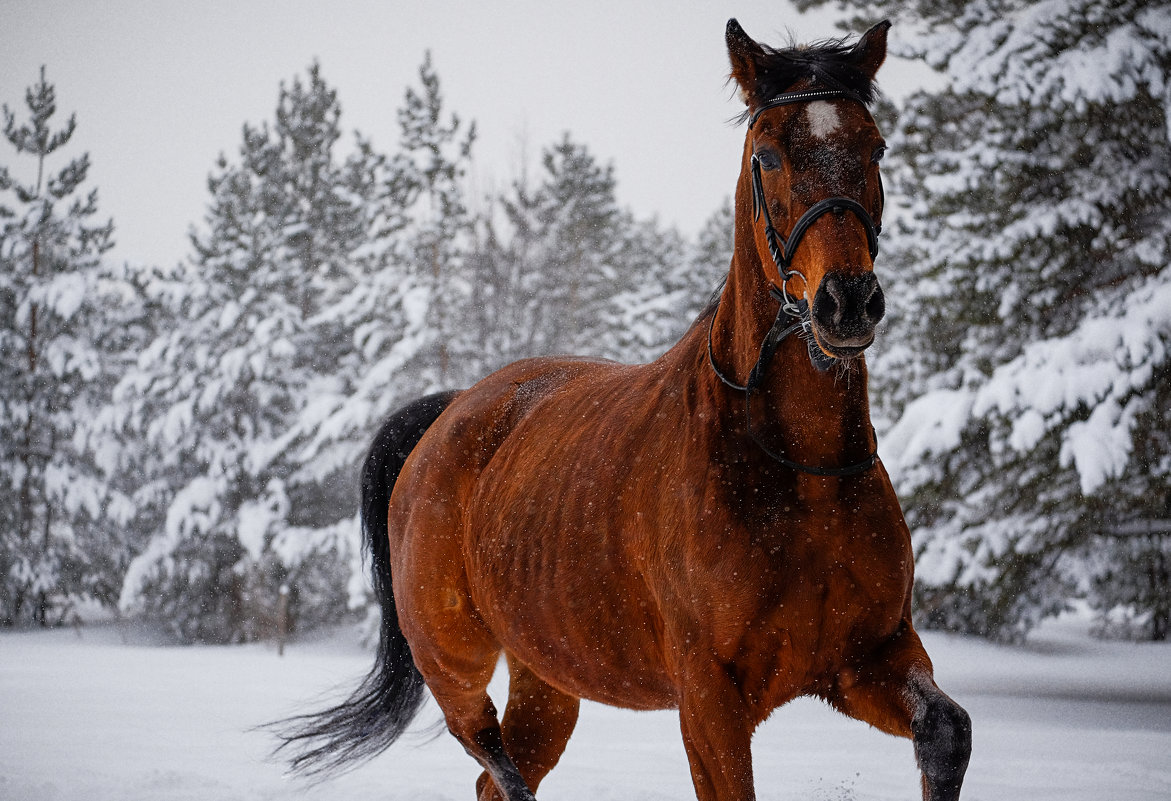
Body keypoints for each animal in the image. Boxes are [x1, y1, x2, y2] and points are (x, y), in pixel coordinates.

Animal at [274, 18, 969, 800]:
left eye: (874, 147)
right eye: (766, 153)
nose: (846, 302)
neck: (801, 472)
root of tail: (449, 418)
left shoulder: (866, 660)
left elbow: (947, 733)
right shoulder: (710, 696)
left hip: (546, 676)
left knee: (498, 777)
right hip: (453, 662)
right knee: (494, 759)